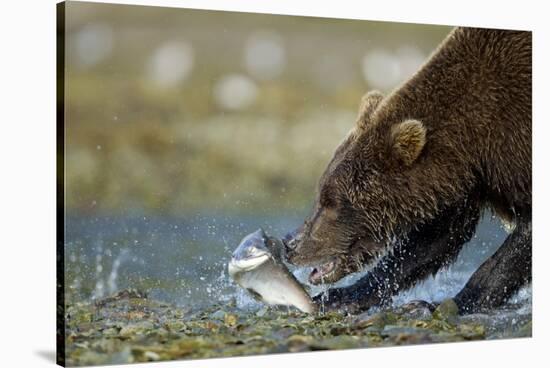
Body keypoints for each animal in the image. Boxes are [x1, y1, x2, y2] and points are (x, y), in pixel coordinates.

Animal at [284, 26, 532, 314]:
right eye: (320, 194)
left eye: (331, 202)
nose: (289, 243)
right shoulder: (463, 182)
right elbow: (429, 242)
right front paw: (342, 297)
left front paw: (445, 303)